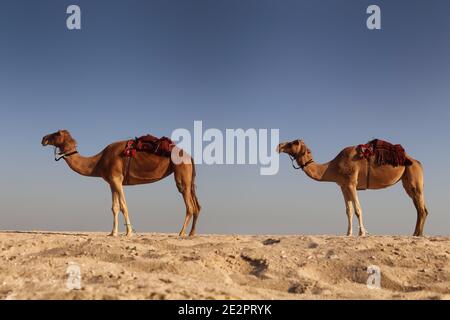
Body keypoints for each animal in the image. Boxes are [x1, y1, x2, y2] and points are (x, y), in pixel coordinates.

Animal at [41, 130, 200, 238]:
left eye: (56, 133)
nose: (43, 138)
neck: (98, 161)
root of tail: (189, 156)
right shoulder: (112, 182)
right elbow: (114, 207)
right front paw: (113, 233)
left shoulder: (117, 178)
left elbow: (123, 206)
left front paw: (129, 232)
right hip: (189, 177)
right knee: (196, 206)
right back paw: (192, 233)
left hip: (181, 173)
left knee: (189, 205)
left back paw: (181, 233)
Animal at [278, 139, 428, 236]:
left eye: (293, 142)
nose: (279, 145)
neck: (332, 166)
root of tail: (417, 162)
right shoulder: (343, 186)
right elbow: (348, 211)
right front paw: (348, 233)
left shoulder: (351, 183)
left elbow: (357, 209)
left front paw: (362, 232)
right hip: (408, 182)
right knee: (420, 209)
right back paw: (416, 234)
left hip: (414, 178)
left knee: (421, 209)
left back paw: (418, 234)